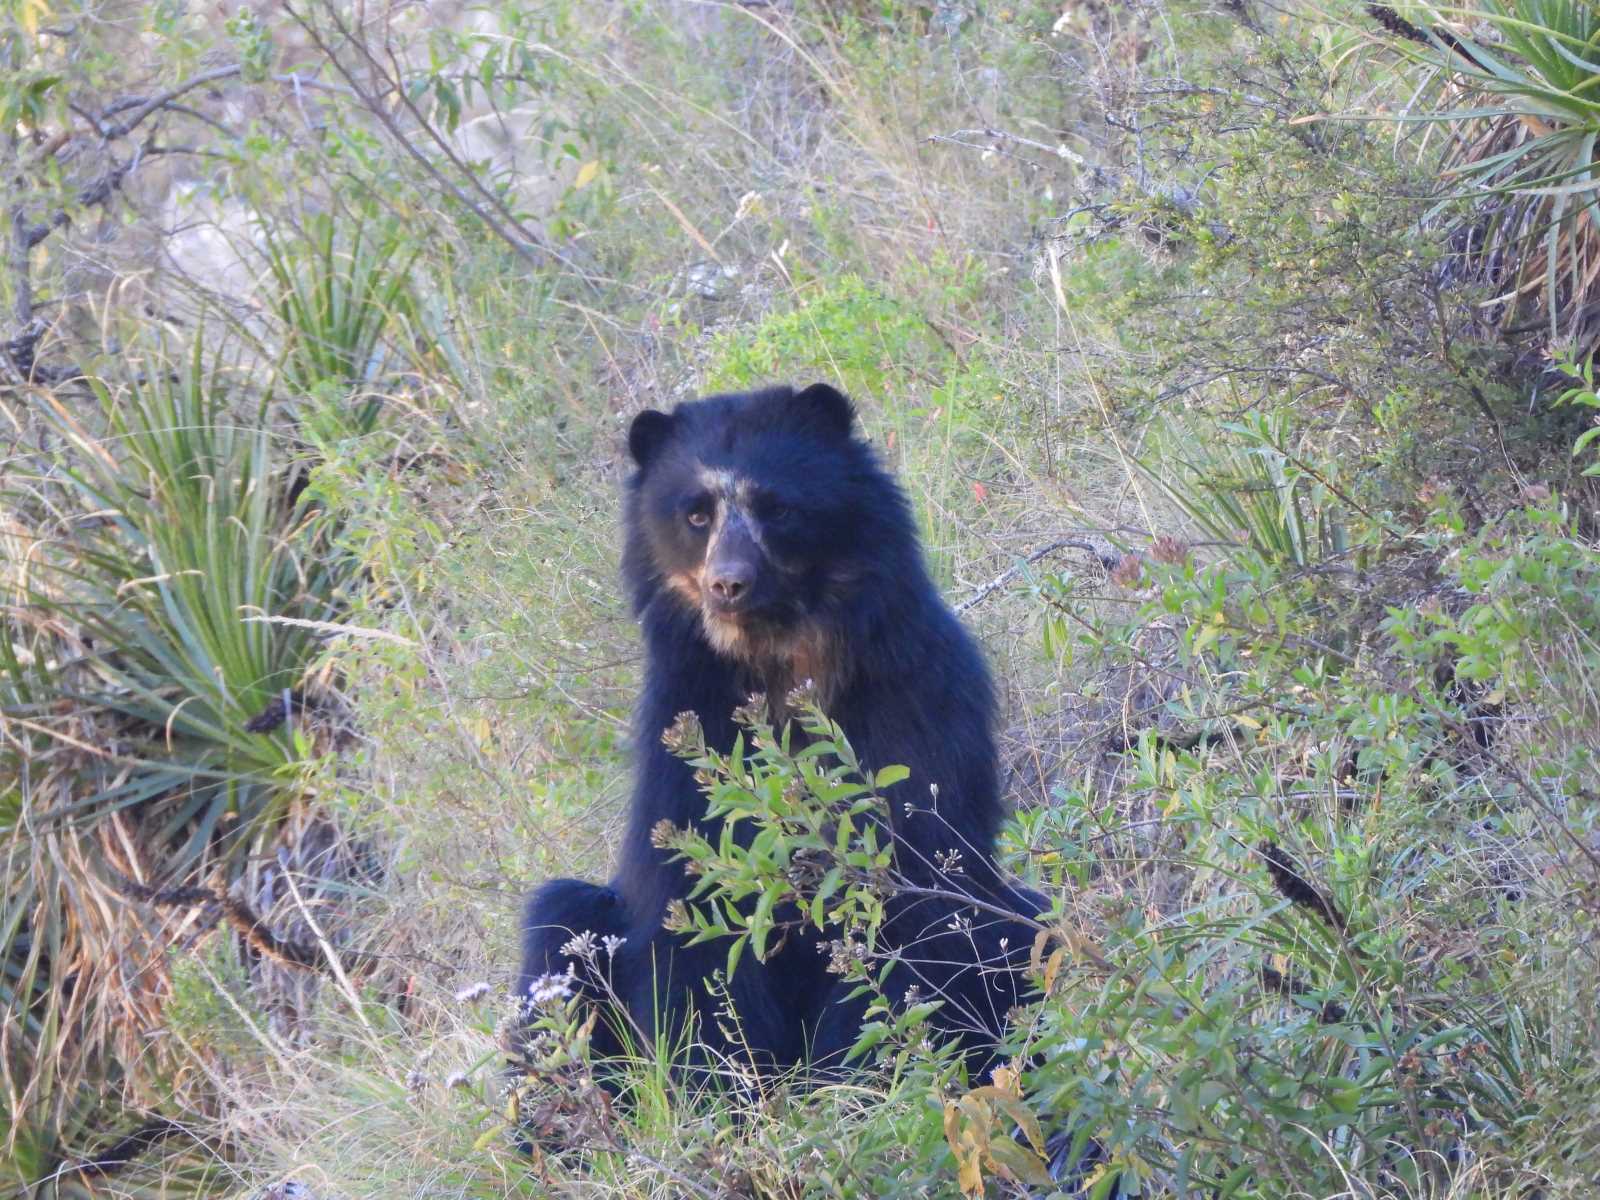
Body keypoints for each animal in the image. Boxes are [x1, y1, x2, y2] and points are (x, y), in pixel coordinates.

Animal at [517, 382, 1046, 1080]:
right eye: (695, 515)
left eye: (778, 508)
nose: (728, 584)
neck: (778, 656)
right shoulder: (687, 727)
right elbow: (694, 908)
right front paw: (722, 1079)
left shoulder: (911, 703)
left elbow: (906, 887)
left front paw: (857, 1079)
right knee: (558, 921)